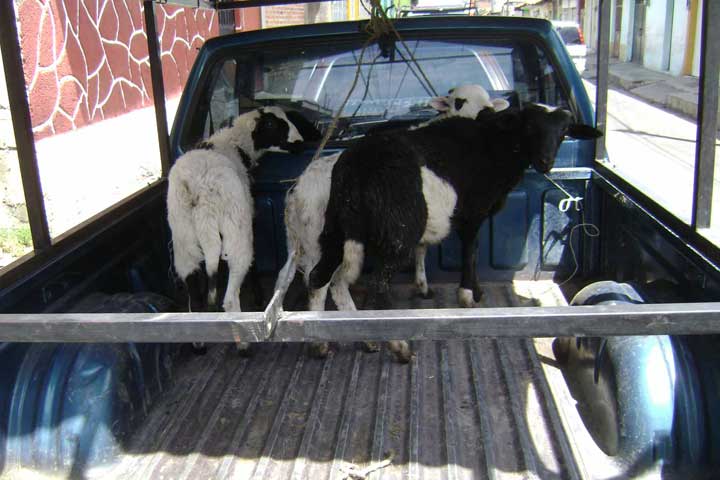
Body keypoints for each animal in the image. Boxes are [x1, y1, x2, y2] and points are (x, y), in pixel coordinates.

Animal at [167, 107, 304, 329]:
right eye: (271, 124)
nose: (300, 142)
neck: (236, 143)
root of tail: (199, 191)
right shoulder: (248, 212)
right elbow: (254, 263)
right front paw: (258, 295)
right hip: (236, 230)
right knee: (230, 297)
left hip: (184, 238)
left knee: (194, 294)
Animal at [281, 85, 508, 361]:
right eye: (459, 102)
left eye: (489, 103)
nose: (486, 115)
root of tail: (296, 193)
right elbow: (470, 249)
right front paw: (470, 292)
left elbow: (422, 249)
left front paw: (423, 286)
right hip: (322, 243)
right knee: (325, 287)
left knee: (327, 283)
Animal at [308, 104, 602, 341]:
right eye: (529, 126)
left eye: (564, 131)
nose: (545, 162)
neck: (495, 146)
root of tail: (356, 168)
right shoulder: (473, 212)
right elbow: (471, 251)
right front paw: (468, 293)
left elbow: (441, 251)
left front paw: (443, 288)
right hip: (397, 234)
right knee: (377, 284)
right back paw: (392, 342)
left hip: (335, 226)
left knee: (318, 277)